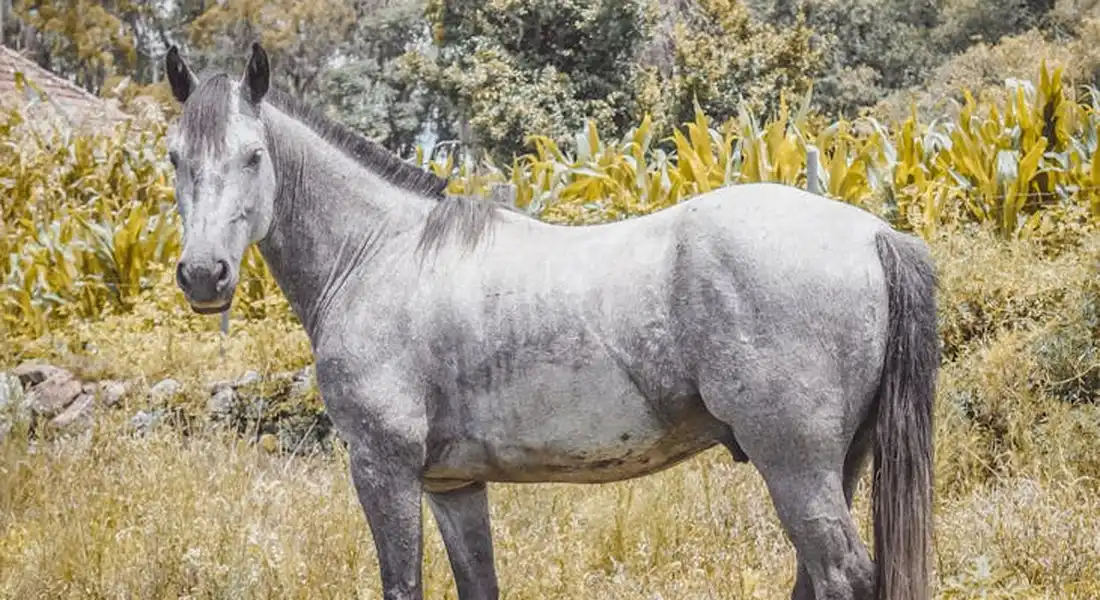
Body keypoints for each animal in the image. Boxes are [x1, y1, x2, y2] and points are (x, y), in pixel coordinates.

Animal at [161, 43, 939, 600]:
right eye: (174, 157)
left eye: (253, 156)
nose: (203, 275)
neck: (380, 253)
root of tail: (873, 233)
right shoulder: (452, 486)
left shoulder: (384, 468)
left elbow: (402, 585)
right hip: (833, 468)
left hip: (796, 469)